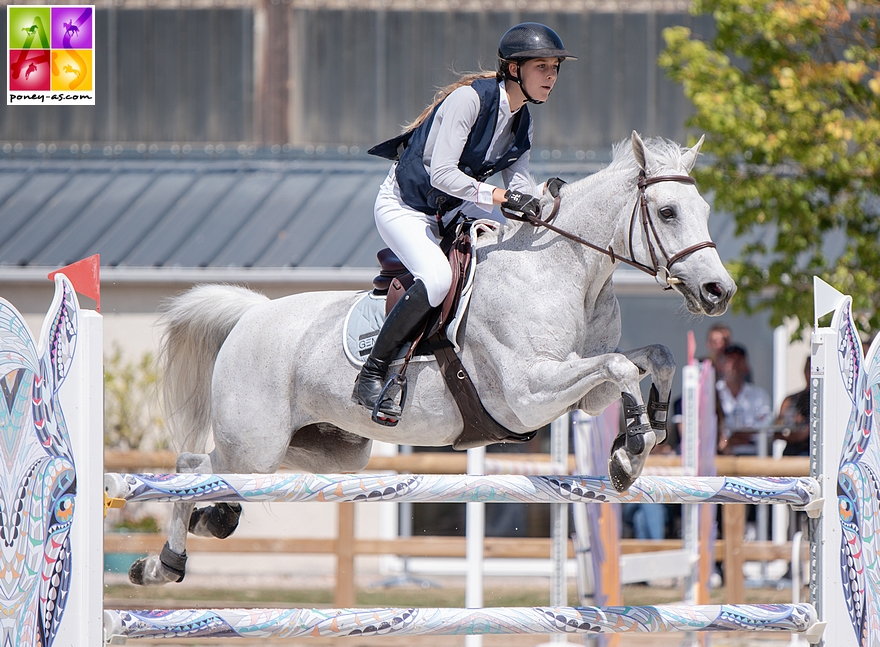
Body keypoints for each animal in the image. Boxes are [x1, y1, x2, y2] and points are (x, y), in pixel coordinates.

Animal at [131, 132, 736, 588]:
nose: (718, 292)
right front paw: (630, 452)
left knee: (210, 472)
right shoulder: (527, 394)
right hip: (255, 444)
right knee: (193, 468)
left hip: (326, 449)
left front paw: (649, 430)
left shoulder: (582, 394)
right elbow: (620, 366)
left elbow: (648, 358)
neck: (565, 270)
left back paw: (207, 525)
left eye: (706, 210)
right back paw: (163, 566)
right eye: (667, 211)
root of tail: (253, 314)